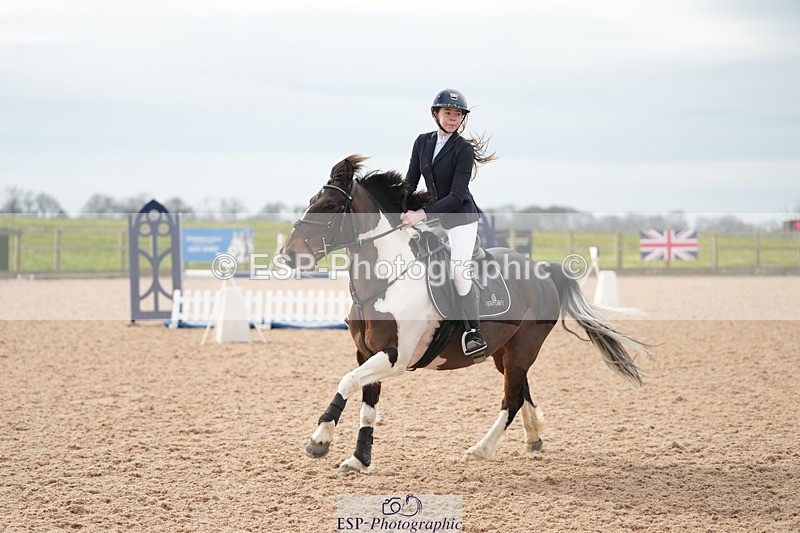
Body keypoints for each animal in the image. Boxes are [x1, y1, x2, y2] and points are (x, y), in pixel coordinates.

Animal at [281, 155, 649, 474]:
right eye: (312, 200)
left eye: (330, 206)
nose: (287, 256)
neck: (385, 280)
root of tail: (544, 271)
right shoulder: (366, 353)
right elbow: (366, 406)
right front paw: (359, 460)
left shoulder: (394, 356)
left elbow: (347, 382)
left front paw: (319, 441)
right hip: (504, 352)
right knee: (521, 390)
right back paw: (533, 438)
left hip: (523, 348)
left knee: (511, 400)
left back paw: (481, 449)